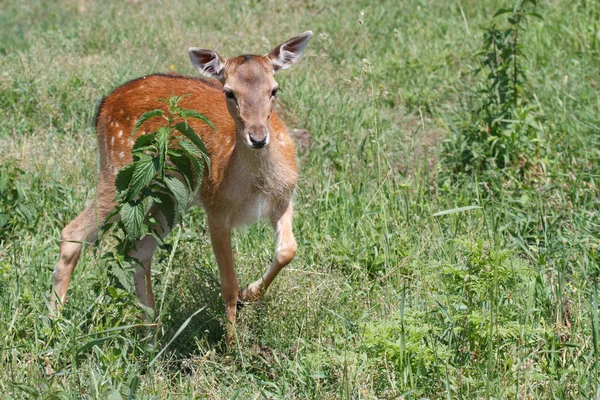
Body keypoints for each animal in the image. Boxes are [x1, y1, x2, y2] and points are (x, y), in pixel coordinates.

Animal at [50, 30, 314, 344]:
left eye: (274, 89)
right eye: (229, 92)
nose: (258, 137)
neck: (256, 185)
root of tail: (102, 106)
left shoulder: (284, 199)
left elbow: (288, 250)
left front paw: (250, 294)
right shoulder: (216, 208)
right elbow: (228, 285)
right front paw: (232, 345)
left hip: (172, 195)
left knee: (139, 251)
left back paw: (151, 334)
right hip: (118, 172)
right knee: (72, 233)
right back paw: (54, 325)